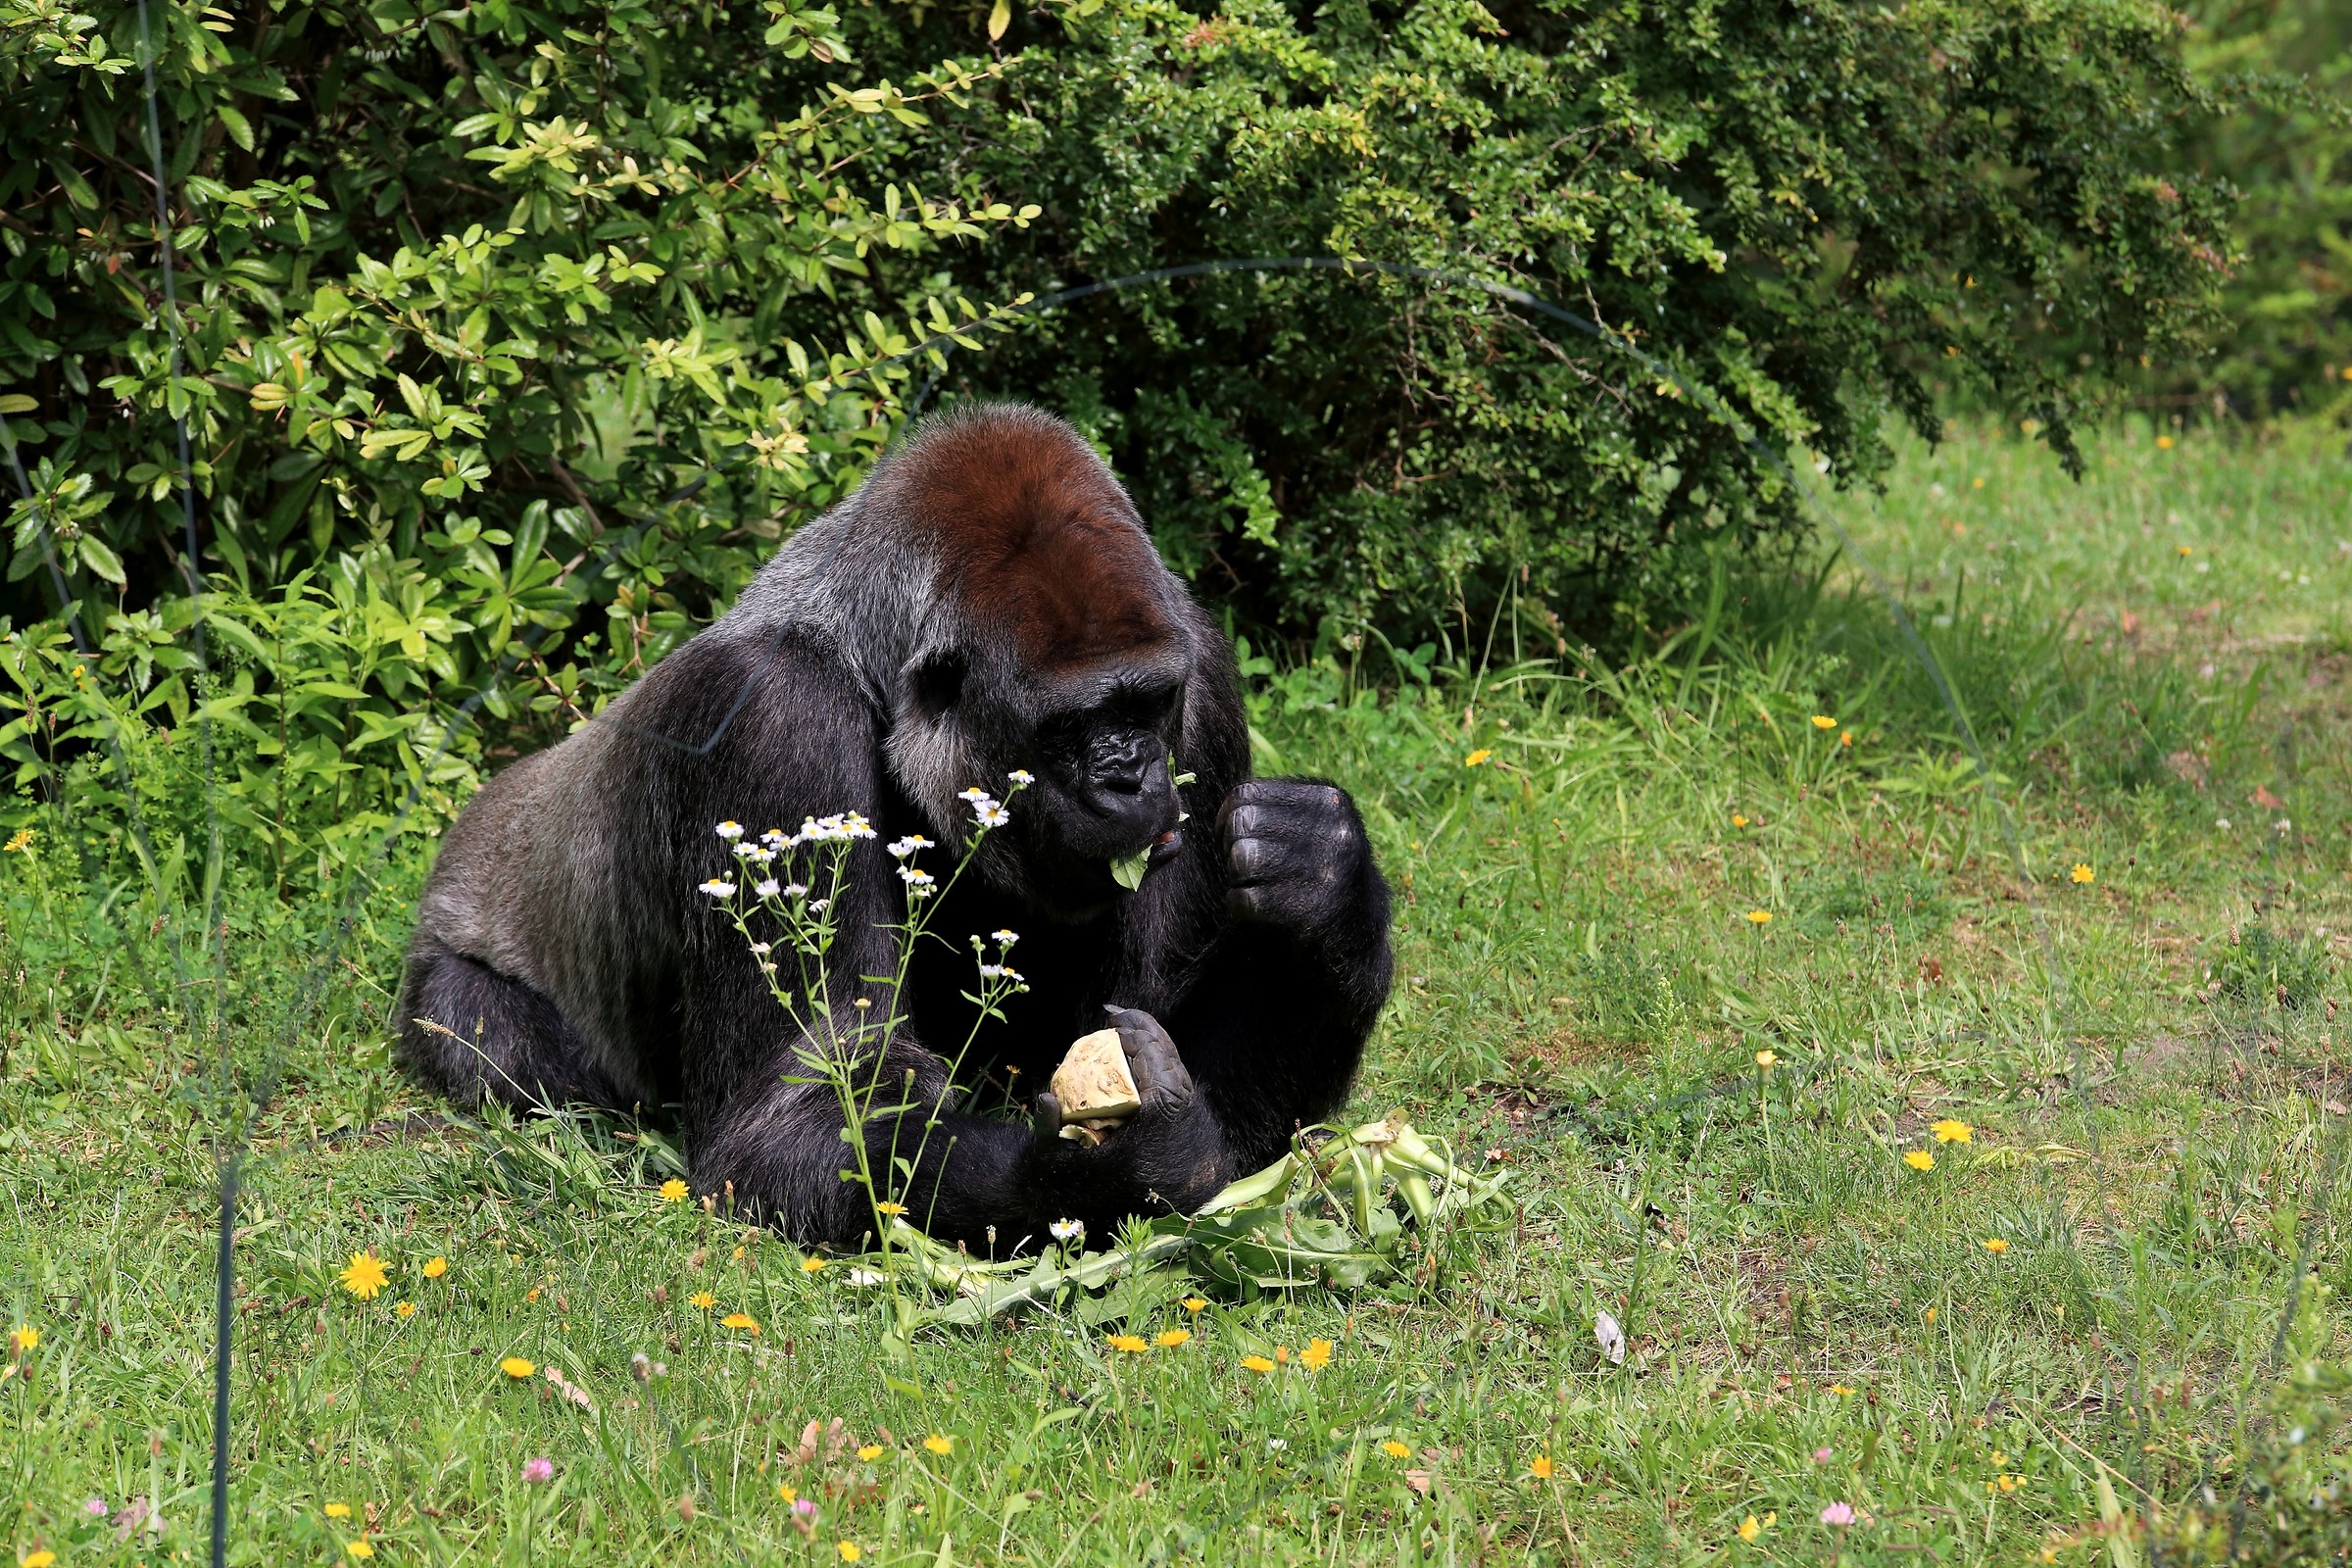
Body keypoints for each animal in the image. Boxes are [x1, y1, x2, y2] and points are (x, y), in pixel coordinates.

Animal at [397, 403, 1392, 1249]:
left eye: (1147, 705)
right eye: (1067, 726)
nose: (1131, 778)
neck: (874, 666)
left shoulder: (1203, 675)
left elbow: (1180, 1045)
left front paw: (1324, 886)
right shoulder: (775, 719)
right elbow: (793, 1114)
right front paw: (1101, 1175)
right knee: (488, 1036)